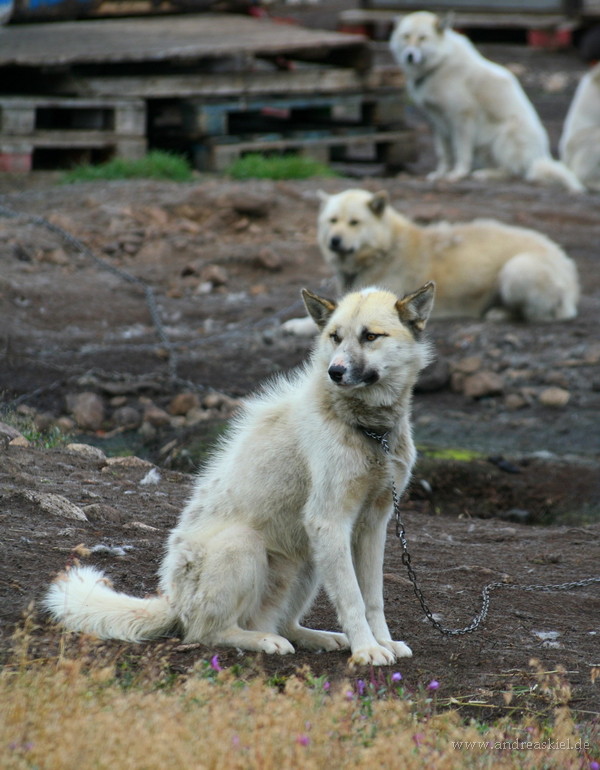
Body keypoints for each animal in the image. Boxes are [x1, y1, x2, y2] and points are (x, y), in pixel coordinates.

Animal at [44, 282, 434, 664]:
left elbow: (372, 598)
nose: (335, 372)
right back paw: (263, 640)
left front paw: (384, 643)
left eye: (370, 336)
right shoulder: (330, 521)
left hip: (307, 558)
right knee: (209, 633)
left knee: (283, 623)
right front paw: (367, 650)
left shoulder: (372, 524)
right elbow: (352, 599)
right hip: (248, 544)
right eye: (335, 337)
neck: (369, 430)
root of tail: (173, 601)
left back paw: (315, 637)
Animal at [392, 10, 584, 192]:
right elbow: (443, 153)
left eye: (423, 38)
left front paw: (458, 174)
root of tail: (539, 157)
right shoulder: (436, 120)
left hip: (506, 133)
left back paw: (485, 174)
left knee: (512, 171)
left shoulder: (462, 115)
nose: (409, 55)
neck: (439, 63)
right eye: (406, 36)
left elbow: (461, 150)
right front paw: (440, 174)